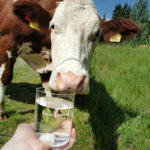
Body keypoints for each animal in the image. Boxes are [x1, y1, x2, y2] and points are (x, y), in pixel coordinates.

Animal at [0, 0, 141, 120]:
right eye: (53, 26)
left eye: (97, 33)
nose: (72, 81)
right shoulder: (6, 44)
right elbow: (5, 78)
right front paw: (2, 113)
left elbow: (48, 85)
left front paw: (54, 109)